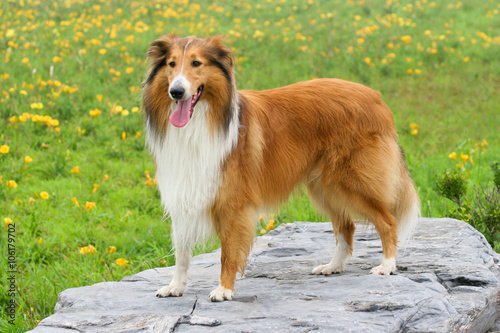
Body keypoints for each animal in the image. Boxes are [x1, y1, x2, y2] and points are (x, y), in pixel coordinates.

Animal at [143, 33, 420, 300]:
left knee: (388, 221)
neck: (201, 121)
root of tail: (377, 98)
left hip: (351, 182)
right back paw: (333, 266)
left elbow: (228, 251)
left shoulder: (233, 203)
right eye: (171, 64)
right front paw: (175, 286)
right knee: (347, 226)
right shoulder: (184, 191)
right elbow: (182, 251)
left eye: (196, 63)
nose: (176, 92)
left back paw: (387, 265)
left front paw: (224, 289)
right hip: (326, 187)